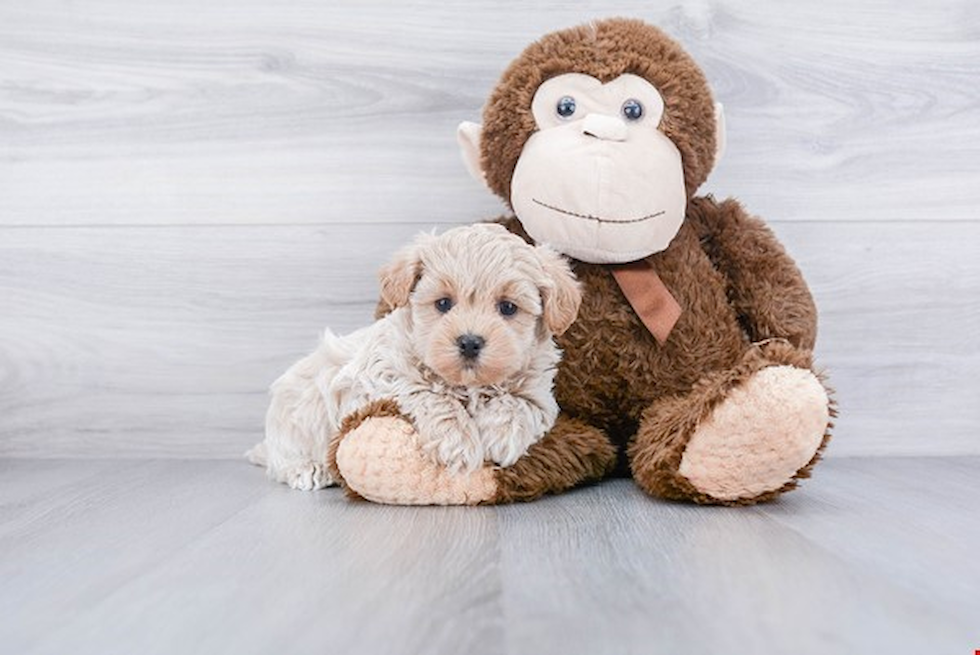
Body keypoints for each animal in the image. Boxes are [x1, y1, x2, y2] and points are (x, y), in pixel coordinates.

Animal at [247, 223, 580, 490]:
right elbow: (427, 393)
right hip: (293, 422)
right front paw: (457, 442)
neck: (468, 385)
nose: (470, 342)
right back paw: (307, 468)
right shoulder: (376, 375)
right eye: (443, 303)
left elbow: (521, 402)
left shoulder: (539, 392)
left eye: (508, 307)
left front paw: (502, 434)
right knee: (281, 461)